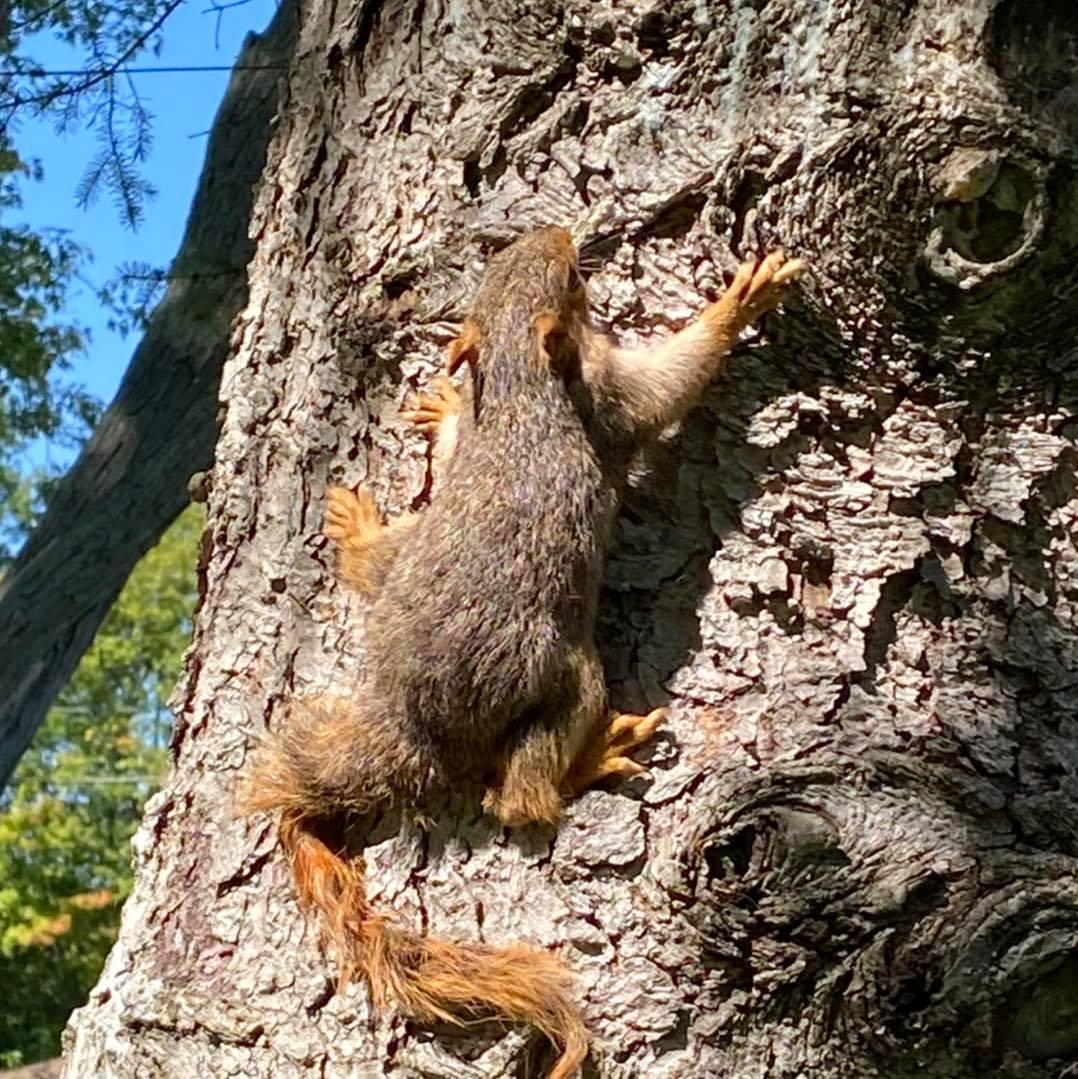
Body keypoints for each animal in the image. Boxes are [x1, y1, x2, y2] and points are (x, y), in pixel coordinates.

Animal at [240, 223, 807, 1074]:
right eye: (572, 280)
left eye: (505, 264)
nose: (564, 232)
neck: (514, 376)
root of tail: (409, 729)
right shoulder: (608, 396)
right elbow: (669, 384)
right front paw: (739, 301)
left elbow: (452, 440)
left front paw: (443, 402)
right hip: (562, 673)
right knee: (520, 793)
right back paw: (592, 756)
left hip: (418, 557)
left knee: (374, 568)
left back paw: (357, 530)